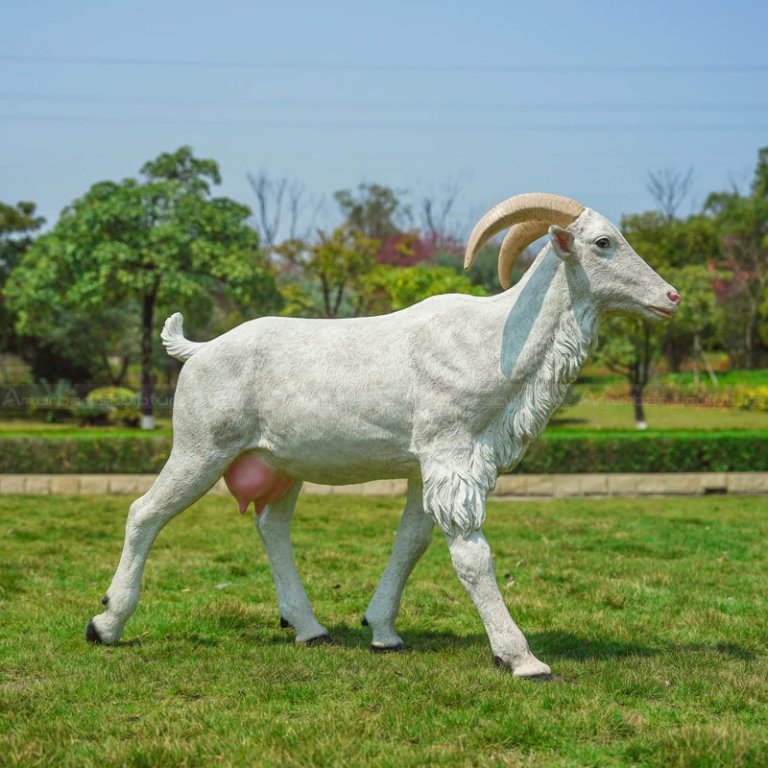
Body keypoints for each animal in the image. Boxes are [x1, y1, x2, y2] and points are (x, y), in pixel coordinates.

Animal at [86, 193, 680, 680]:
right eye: (603, 242)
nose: (671, 297)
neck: (495, 341)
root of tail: (198, 350)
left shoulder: (425, 466)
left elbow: (411, 541)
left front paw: (384, 633)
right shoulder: (449, 453)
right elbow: (471, 554)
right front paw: (522, 659)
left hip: (280, 466)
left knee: (271, 525)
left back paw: (310, 629)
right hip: (201, 448)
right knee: (145, 512)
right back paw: (106, 623)